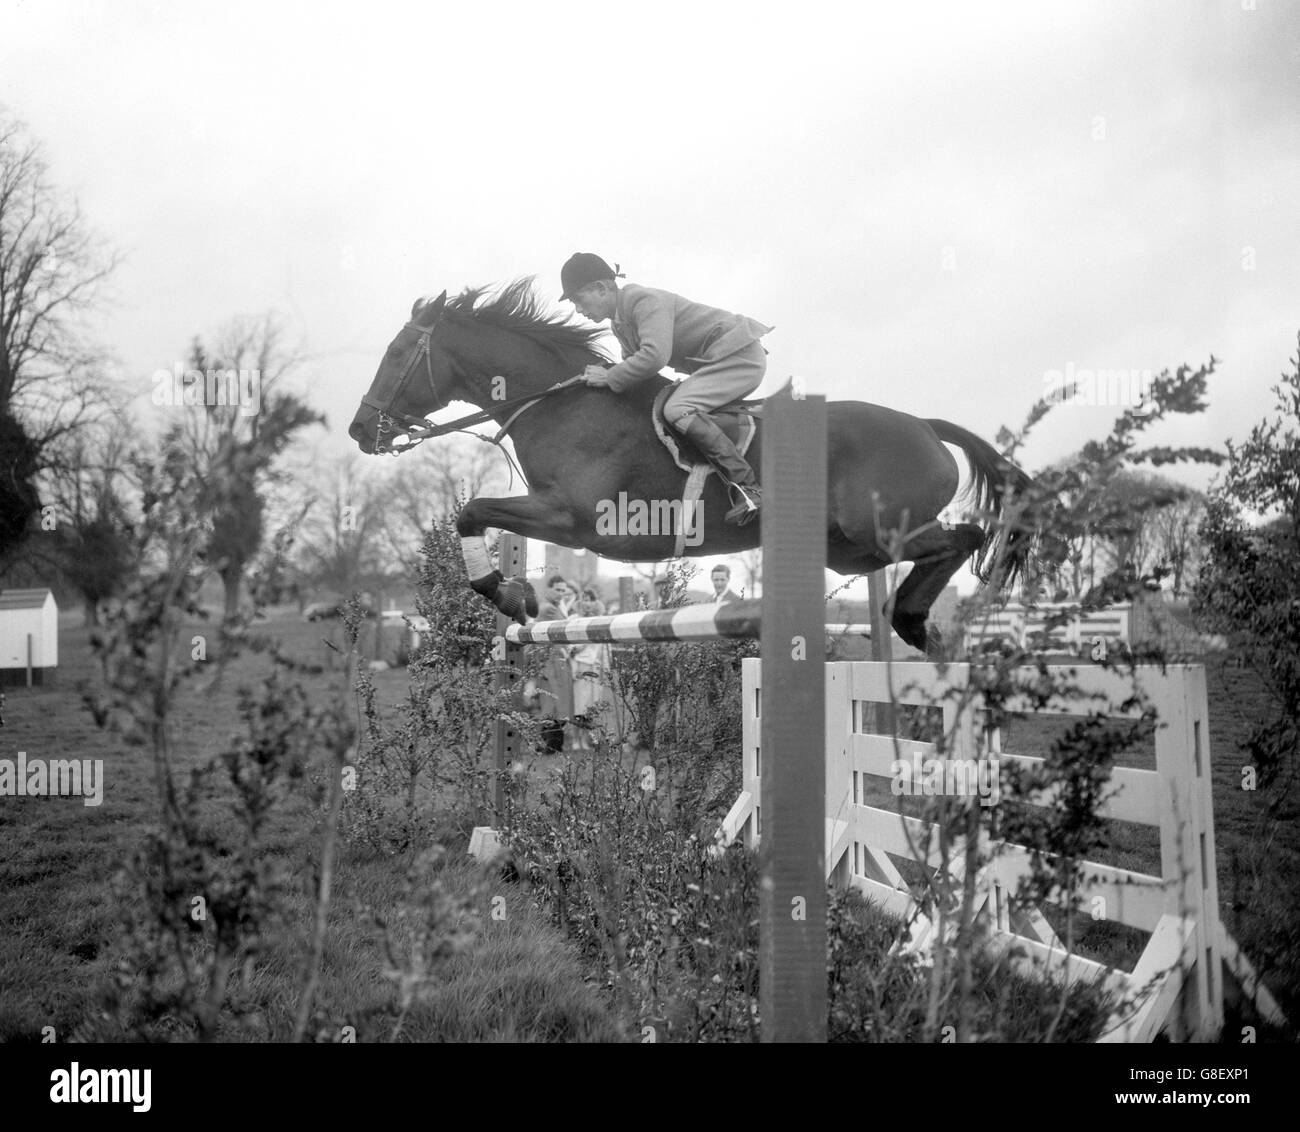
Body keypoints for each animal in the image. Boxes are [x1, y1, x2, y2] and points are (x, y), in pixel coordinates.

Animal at [348, 276, 1034, 655]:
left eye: (399, 352)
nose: (359, 431)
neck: (560, 402)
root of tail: (925, 425)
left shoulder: (574, 519)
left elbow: (471, 511)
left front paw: (509, 594)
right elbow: (477, 515)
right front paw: (517, 596)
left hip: (880, 530)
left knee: (963, 538)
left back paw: (917, 622)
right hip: (850, 551)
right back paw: (919, 627)